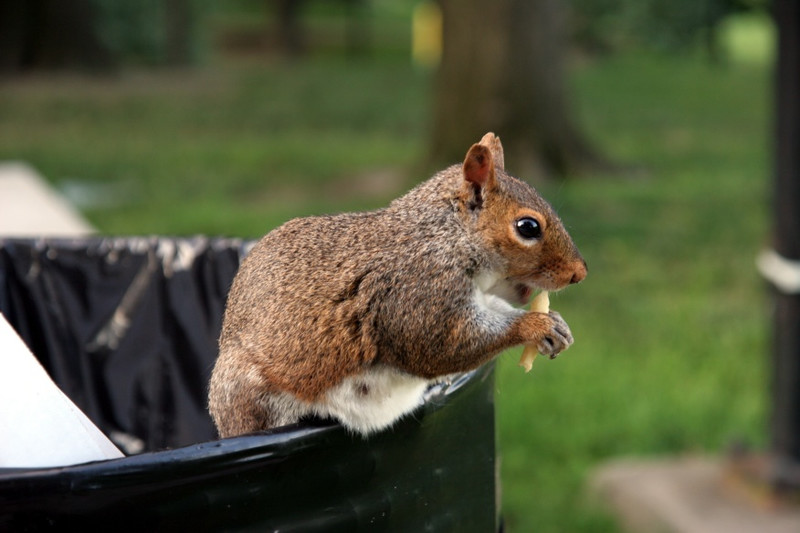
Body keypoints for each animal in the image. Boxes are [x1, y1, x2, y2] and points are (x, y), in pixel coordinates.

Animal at [209, 132, 588, 436]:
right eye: (528, 227)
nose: (579, 273)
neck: (446, 237)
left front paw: (558, 324)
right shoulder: (415, 294)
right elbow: (442, 346)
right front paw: (534, 325)